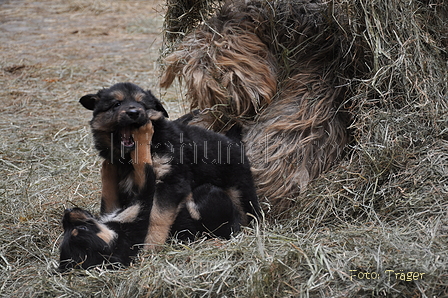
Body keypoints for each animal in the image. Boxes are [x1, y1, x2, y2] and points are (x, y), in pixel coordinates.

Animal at [79, 82, 260, 250]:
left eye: (142, 104)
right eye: (116, 104)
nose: (134, 113)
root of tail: (233, 142)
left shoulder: (170, 180)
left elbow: (156, 215)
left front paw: (149, 245)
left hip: (241, 191)